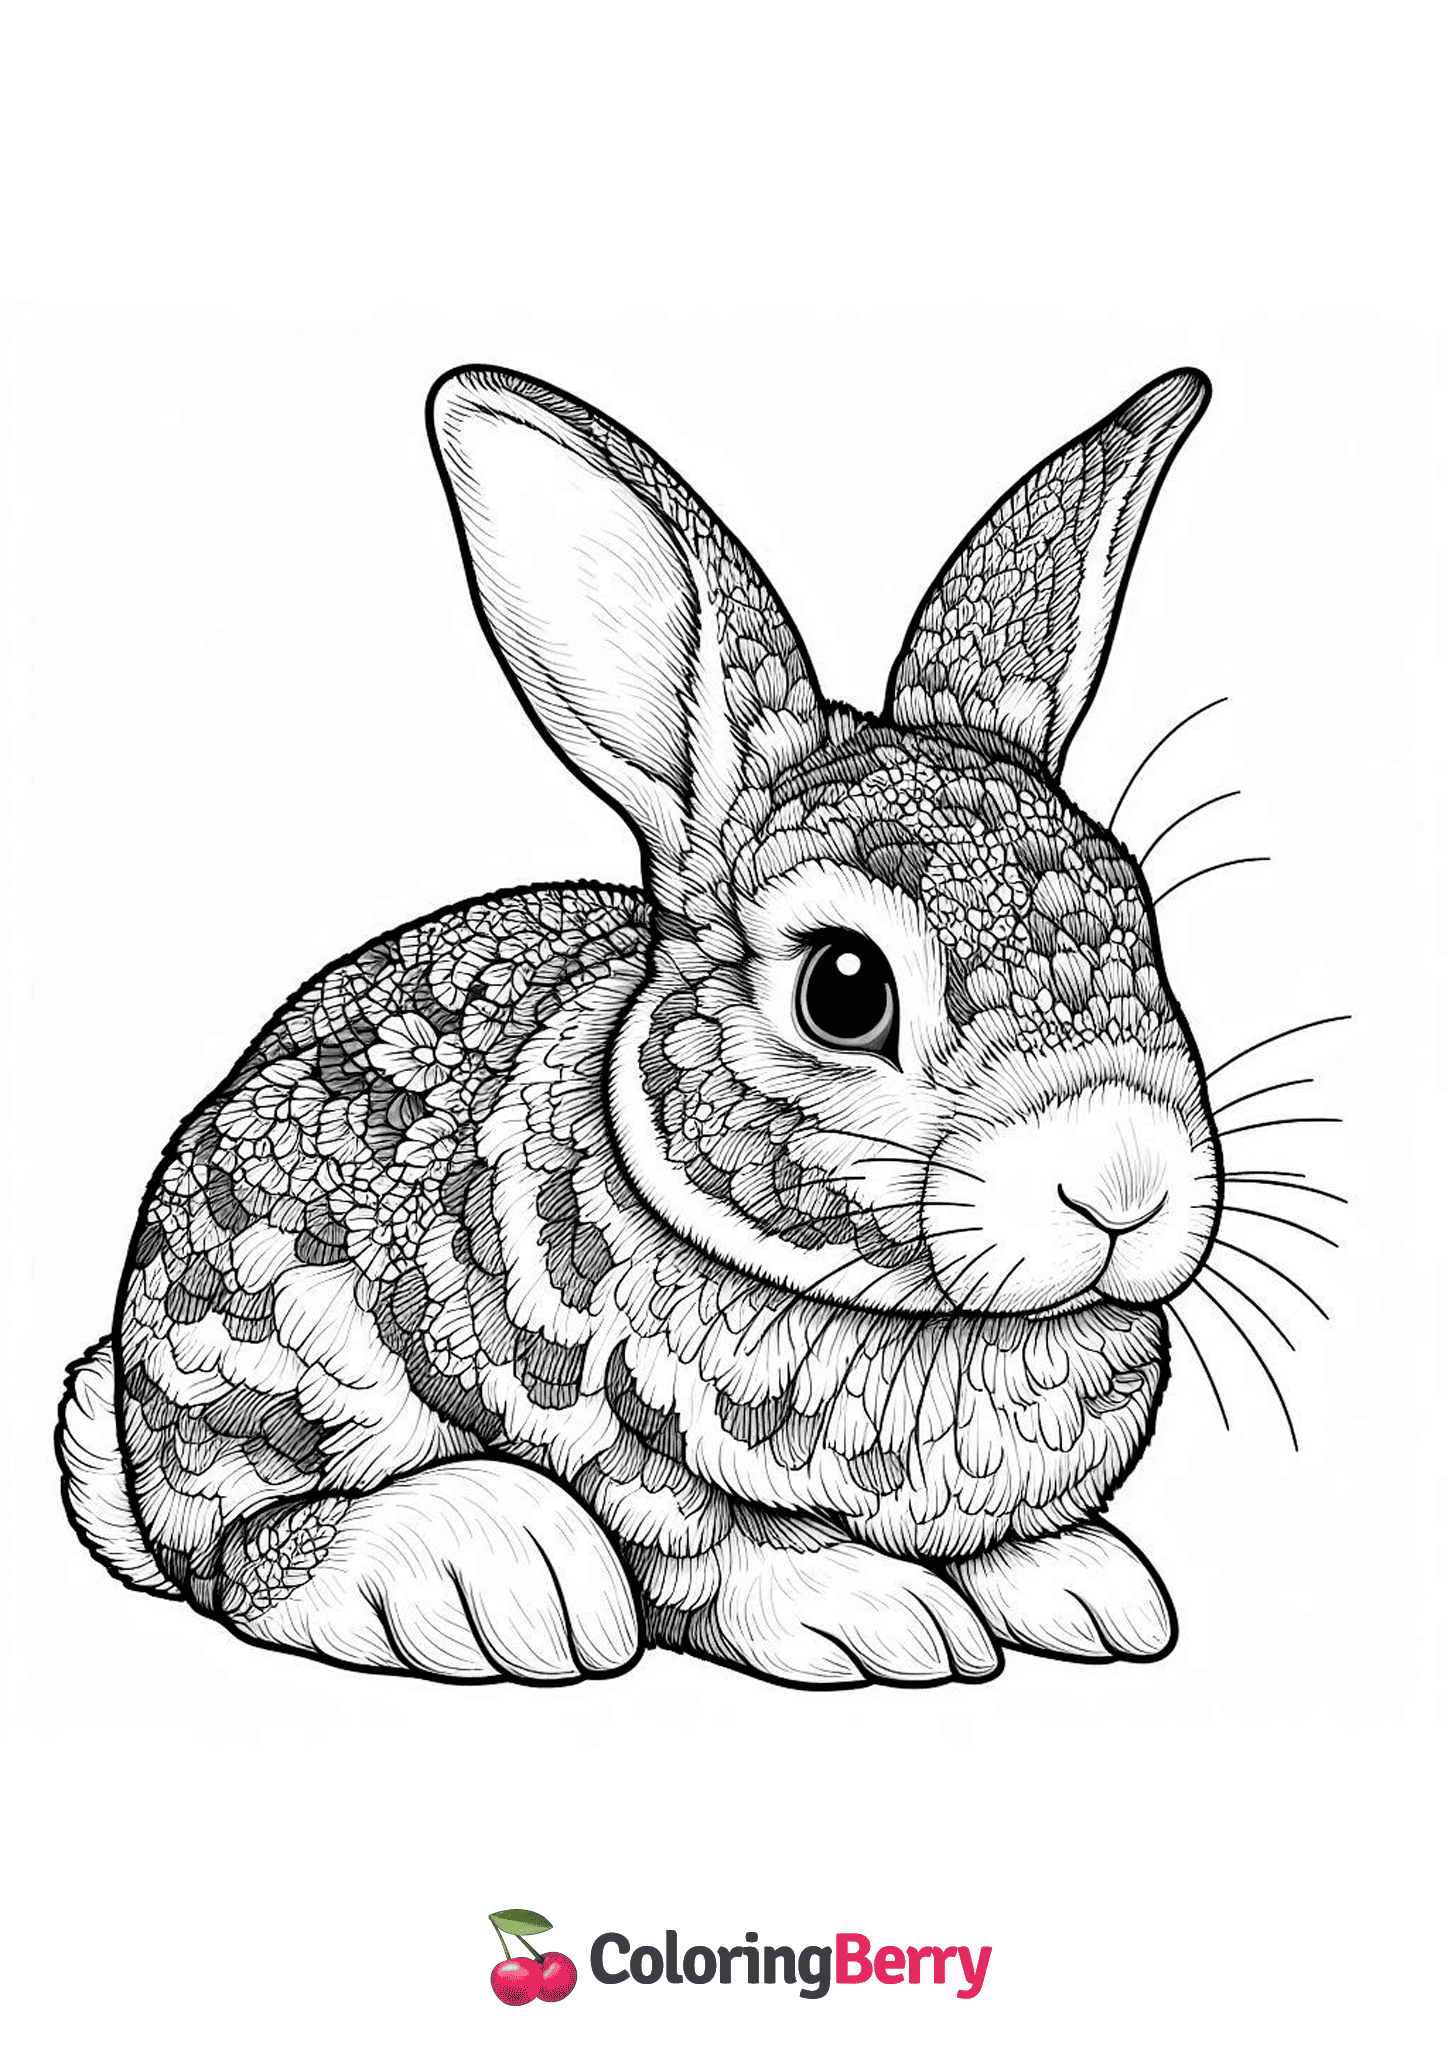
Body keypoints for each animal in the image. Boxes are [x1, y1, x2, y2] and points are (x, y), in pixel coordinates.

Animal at [58, 360, 1220, 1688]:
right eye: (844, 989)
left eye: (1136, 907)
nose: (1122, 1182)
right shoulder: (613, 1448)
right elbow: (717, 1552)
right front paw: (877, 1614)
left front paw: (1087, 1587)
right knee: (246, 1552)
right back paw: (489, 1571)